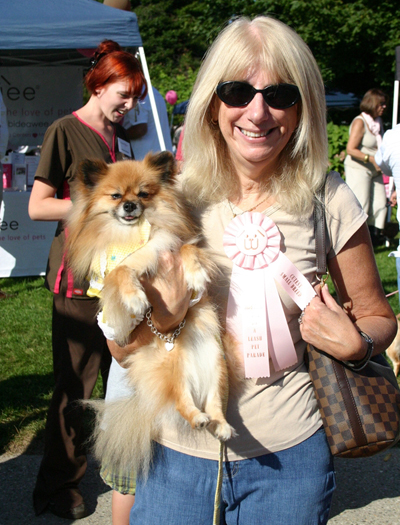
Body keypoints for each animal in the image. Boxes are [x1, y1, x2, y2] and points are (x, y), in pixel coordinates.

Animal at [65, 150, 234, 474]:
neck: (136, 236)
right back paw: (199, 418)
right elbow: (120, 271)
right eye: (116, 196)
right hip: (174, 371)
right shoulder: (109, 279)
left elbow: (188, 250)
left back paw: (221, 425)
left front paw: (195, 275)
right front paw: (134, 298)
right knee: (183, 401)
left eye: (143, 194)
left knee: (214, 403)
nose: (130, 205)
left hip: (216, 364)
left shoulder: (171, 242)